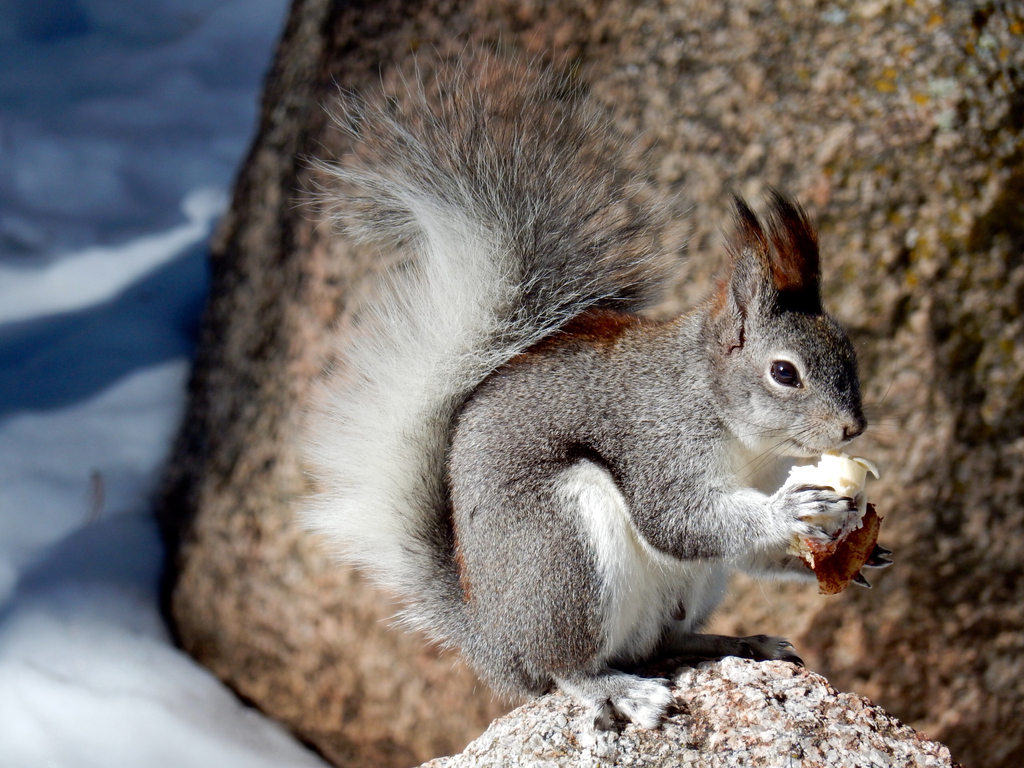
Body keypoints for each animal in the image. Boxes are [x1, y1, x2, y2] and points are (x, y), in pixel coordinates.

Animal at [302, 55, 883, 730]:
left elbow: (748, 553)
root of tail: (493, 642)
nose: (851, 429)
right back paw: (617, 688)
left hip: (688, 588)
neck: (741, 437)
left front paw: (856, 550)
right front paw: (790, 511)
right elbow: (678, 520)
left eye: (847, 348)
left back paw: (741, 642)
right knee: (568, 667)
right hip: (565, 555)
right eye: (785, 373)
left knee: (664, 641)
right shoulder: (656, 439)